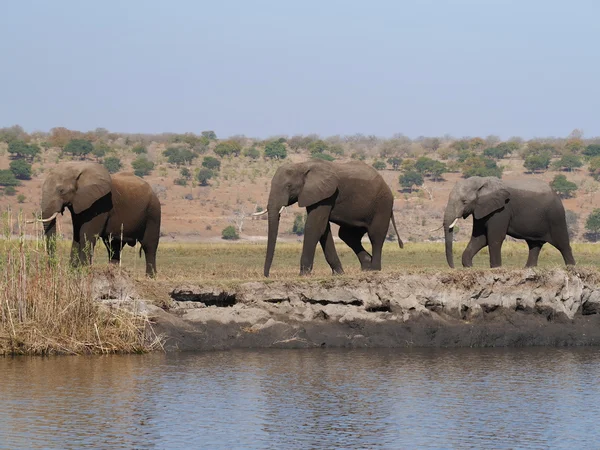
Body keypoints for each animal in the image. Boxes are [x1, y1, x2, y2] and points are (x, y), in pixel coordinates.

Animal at [253, 158, 404, 278]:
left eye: (289, 186)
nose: (267, 276)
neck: (303, 165)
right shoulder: (315, 195)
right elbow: (323, 230)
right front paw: (339, 273)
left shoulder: (326, 195)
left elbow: (314, 227)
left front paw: (303, 275)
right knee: (347, 235)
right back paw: (366, 267)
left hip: (382, 205)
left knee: (375, 235)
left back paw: (374, 269)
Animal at [440, 175, 576, 268]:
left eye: (464, 202)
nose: (453, 267)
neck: (482, 181)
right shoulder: (482, 210)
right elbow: (480, 238)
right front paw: (469, 266)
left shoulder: (502, 210)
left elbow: (494, 238)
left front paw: (496, 268)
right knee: (534, 244)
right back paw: (528, 269)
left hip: (556, 216)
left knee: (562, 243)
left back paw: (571, 267)